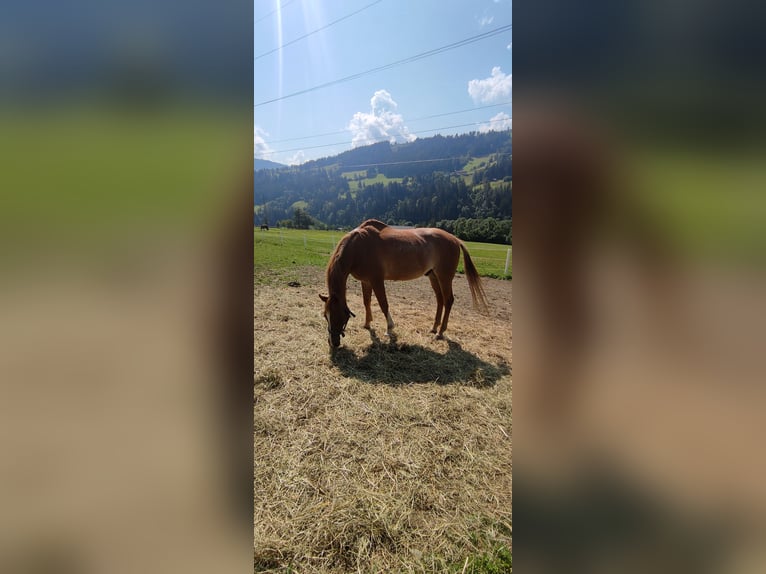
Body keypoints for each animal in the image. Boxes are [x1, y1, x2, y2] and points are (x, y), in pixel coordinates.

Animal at [320, 219, 488, 346]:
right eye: (325, 315)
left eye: (337, 315)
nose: (333, 342)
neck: (358, 247)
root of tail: (455, 239)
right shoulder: (366, 281)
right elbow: (366, 302)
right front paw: (367, 324)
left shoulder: (376, 280)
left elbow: (383, 304)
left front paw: (389, 328)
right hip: (433, 276)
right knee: (440, 300)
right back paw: (434, 328)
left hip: (444, 277)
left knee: (448, 300)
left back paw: (440, 332)